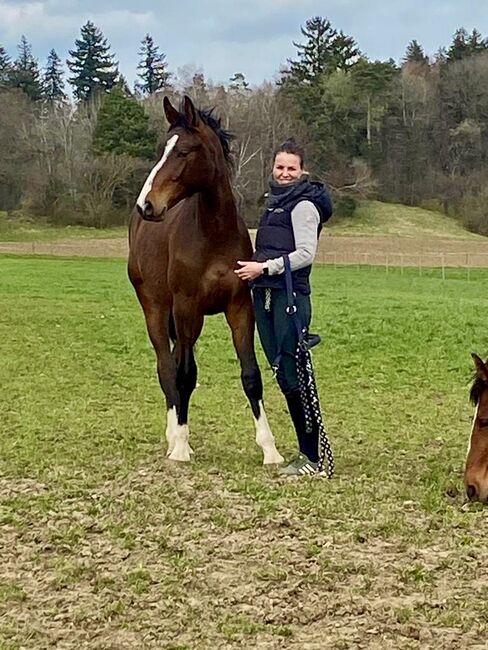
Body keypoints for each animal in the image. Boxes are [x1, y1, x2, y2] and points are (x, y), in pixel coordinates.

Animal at [127, 95, 284, 466]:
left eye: (183, 151)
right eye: (163, 149)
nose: (147, 204)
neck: (213, 234)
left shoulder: (239, 308)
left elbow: (251, 375)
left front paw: (270, 449)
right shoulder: (185, 307)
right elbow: (184, 375)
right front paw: (181, 448)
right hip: (157, 310)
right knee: (167, 368)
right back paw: (174, 437)